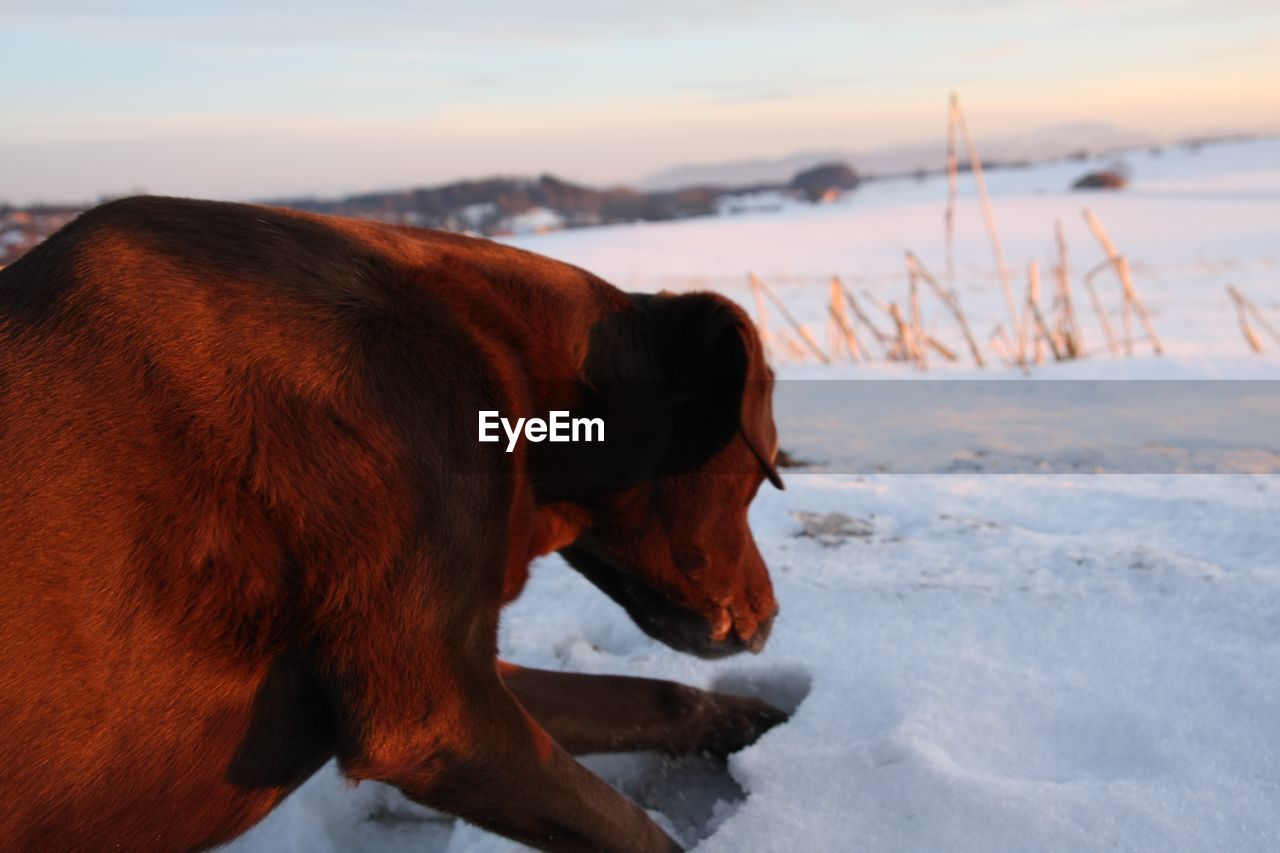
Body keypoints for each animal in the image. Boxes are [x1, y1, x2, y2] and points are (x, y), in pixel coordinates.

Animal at [0, 195, 783, 845]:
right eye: (758, 473)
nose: (772, 619)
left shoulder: (470, 676)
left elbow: (663, 696)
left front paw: (772, 723)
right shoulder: (434, 721)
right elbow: (637, 830)